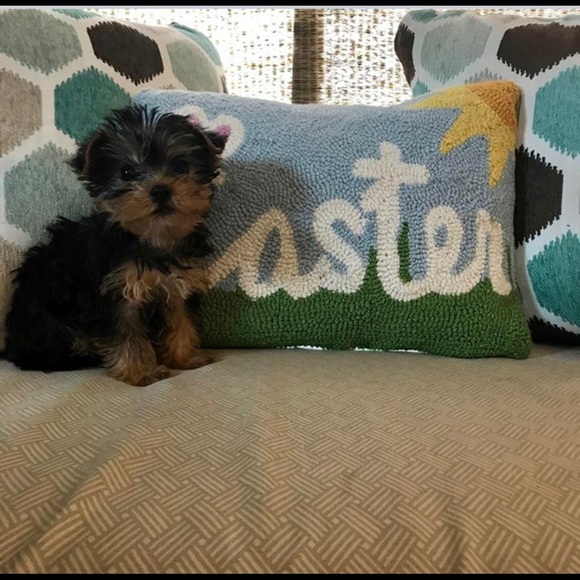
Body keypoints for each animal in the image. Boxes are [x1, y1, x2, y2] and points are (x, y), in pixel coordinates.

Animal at [3, 104, 227, 386]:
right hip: (47, 314)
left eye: (181, 167)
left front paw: (185, 357)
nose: (160, 190)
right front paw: (140, 372)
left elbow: (181, 317)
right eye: (126, 172)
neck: (153, 238)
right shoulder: (117, 292)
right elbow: (126, 333)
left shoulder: (178, 284)